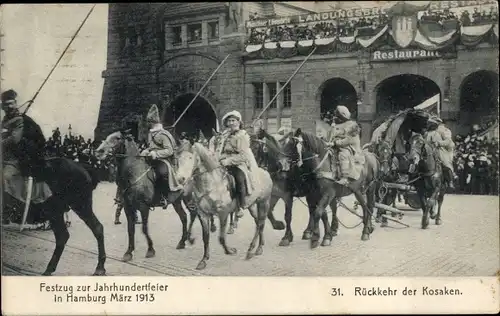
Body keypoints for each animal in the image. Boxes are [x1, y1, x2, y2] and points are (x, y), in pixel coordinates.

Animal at [94, 131, 197, 262]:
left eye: (117, 138)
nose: (98, 152)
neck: (133, 173)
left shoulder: (144, 207)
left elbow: (144, 228)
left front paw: (150, 250)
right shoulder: (128, 207)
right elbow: (130, 229)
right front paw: (128, 252)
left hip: (188, 198)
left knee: (193, 213)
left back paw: (190, 238)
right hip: (176, 201)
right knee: (184, 217)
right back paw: (182, 242)